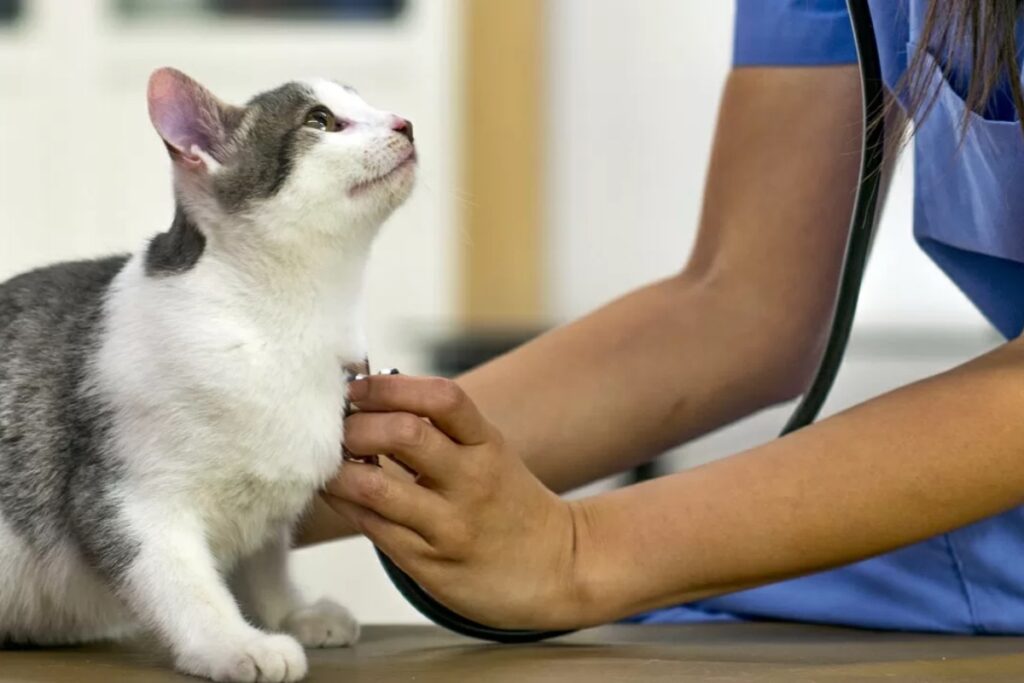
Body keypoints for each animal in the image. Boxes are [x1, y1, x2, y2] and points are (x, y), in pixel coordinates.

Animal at [1, 65, 415, 683]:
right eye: (320, 121)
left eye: (366, 105)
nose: (404, 123)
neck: (287, 326)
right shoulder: (130, 499)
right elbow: (185, 584)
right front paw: (234, 642)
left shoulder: (266, 510)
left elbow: (265, 564)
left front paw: (289, 614)